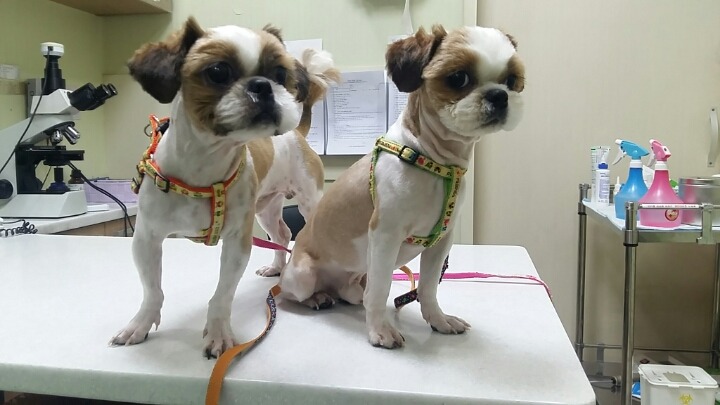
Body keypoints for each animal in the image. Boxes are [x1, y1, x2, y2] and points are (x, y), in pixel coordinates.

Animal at [110, 17, 339, 357]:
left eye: (280, 74)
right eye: (218, 72)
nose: (263, 85)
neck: (204, 165)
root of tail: (297, 133)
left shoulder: (236, 242)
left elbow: (222, 295)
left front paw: (218, 333)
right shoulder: (147, 238)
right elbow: (152, 290)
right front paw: (140, 324)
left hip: (308, 201)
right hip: (265, 208)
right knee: (282, 234)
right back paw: (277, 269)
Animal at [275, 25, 524, 349]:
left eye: (511, 81)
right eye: (458, 78)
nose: (499, 95)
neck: (434, 163)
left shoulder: (441, 242)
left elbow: (428, 288)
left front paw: (438, 321)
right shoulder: (385, 235)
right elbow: (381, 290)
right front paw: (380, 330)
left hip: (356, 279)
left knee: (355, 293)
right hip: (302, 276)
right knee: (294, 294)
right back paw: (316, 297)